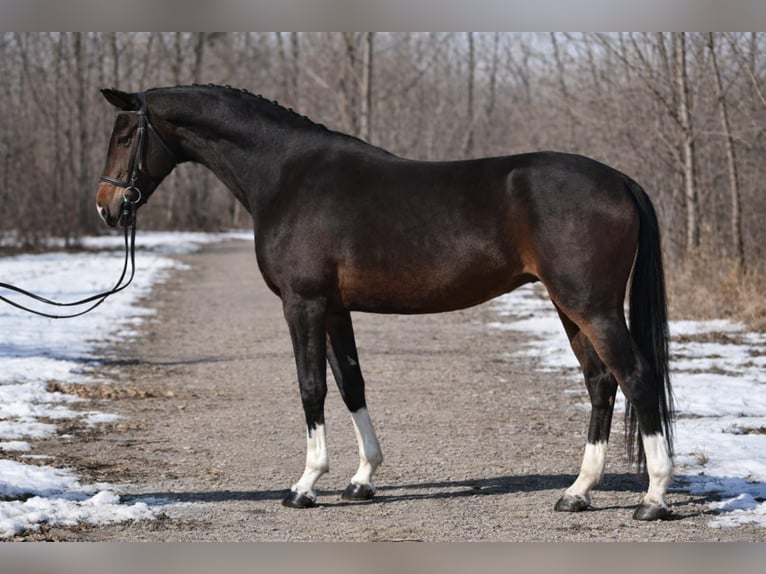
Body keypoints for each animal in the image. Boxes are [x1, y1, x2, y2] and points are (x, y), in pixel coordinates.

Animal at [96, 84, 674, 521]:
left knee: (636, 378)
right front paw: (362, 480)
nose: (107, 206)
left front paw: (305, 486)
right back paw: (577, 492)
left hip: (592, 307)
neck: (286, 174)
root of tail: (619, 180)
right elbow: (351, 384)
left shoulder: (303, 305)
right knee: (601, 383)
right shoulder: (334, 309)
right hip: (569, 306)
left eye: (125, 136)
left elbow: (311, 387)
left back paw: (653, 498)